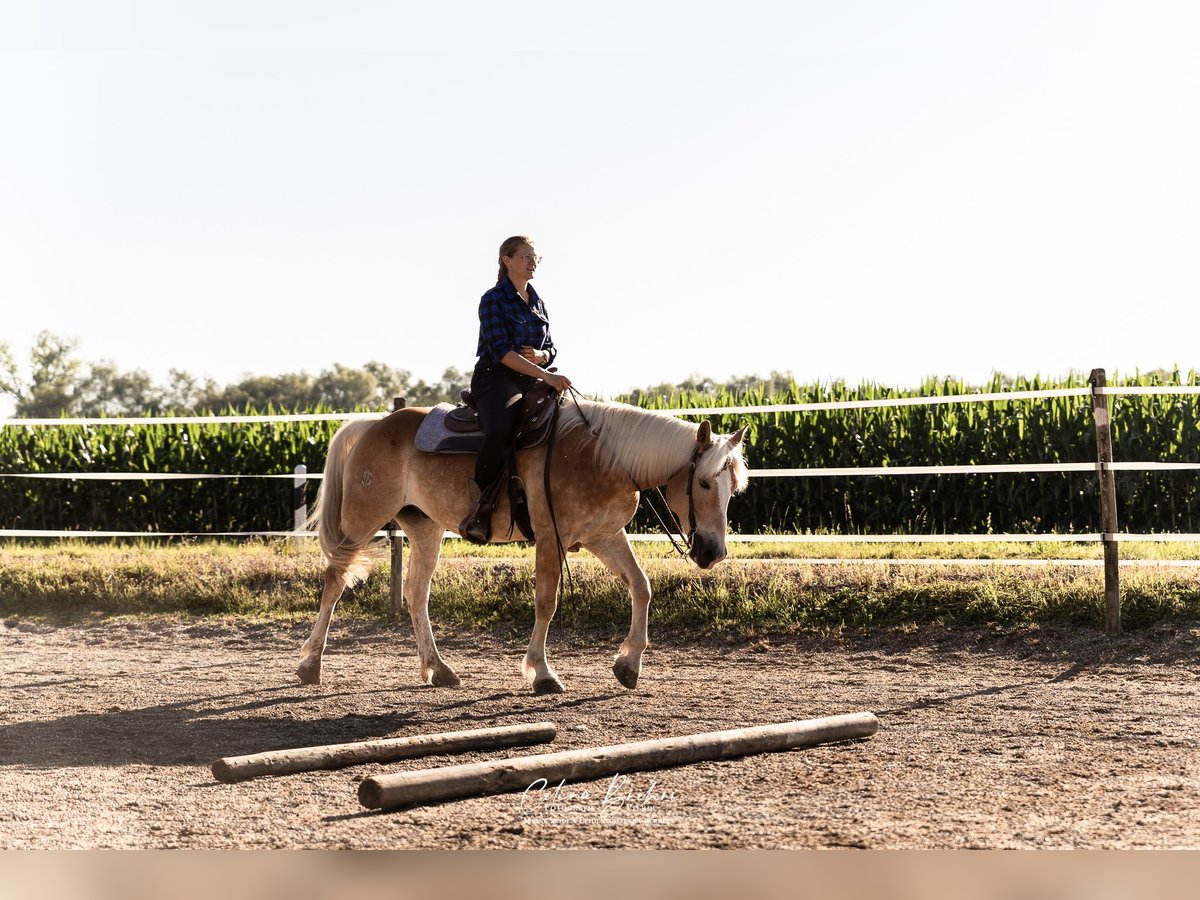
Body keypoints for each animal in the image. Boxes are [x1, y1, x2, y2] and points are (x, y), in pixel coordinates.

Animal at [299, 398, 748, 694]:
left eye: (735, 489)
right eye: (703, 482)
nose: (714, 553)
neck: (603, 455)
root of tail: (371, 424)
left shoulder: (604, 535)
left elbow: (641, 587)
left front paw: (628, 665)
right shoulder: (551, 538)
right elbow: (546, 602)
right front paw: (542, 673)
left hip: (425, 529)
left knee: (416, 594)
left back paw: (438, 668)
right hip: (362, 520)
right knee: (335, 581)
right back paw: (310, 664)